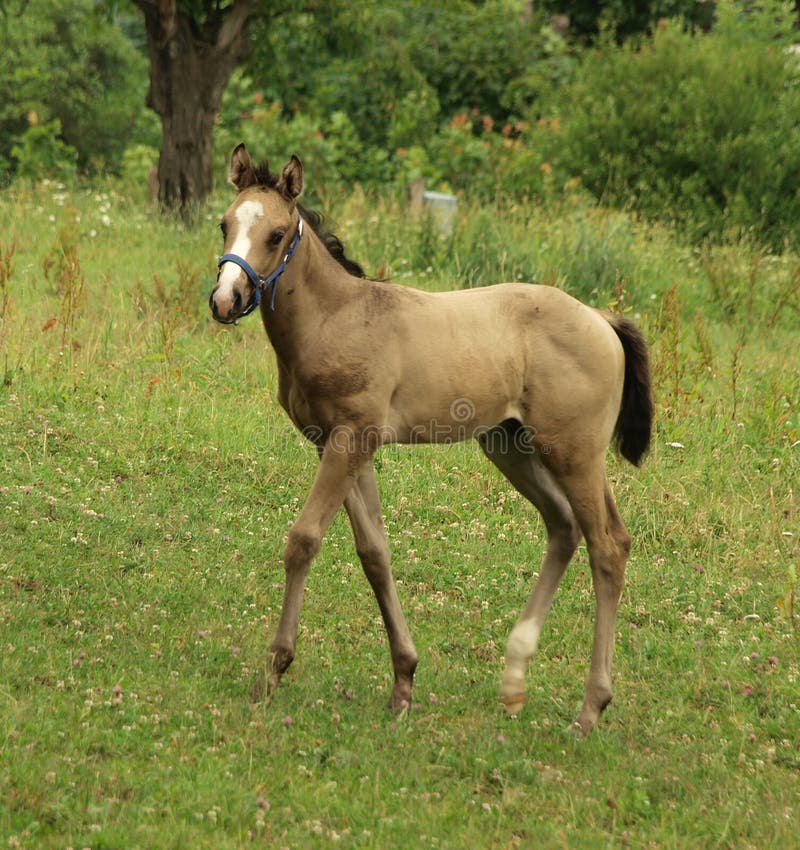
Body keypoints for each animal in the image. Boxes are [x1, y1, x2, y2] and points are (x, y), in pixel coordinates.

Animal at [209, 142, 652, 732]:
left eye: (277, 234)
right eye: (224, 224)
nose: (225, 300)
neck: (336, 318)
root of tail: (604, 320)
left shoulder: (352, 439)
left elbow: (304, 540)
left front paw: (273, 671)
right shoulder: (336, 443)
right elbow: (374, 552)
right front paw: (403, 682)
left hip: (573, 453)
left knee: (606, 546)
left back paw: (589, 708)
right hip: (516, 447)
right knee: (570, 529)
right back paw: (514, 681)